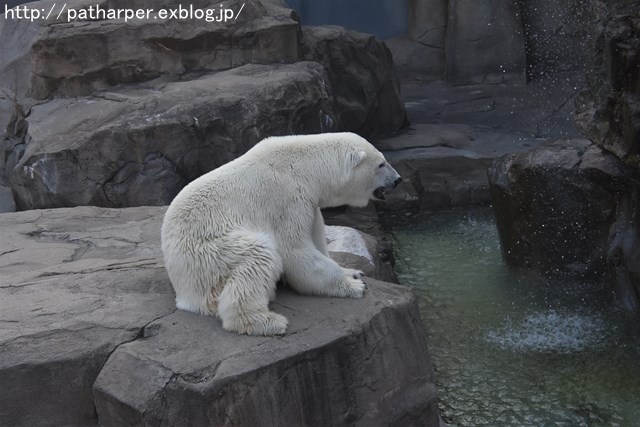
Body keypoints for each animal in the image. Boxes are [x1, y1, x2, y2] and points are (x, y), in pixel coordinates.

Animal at [160, 132, 400, 336]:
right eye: (381, 163)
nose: (398, 179)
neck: (305, 168)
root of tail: (182, 292)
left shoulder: (310, 203)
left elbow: (317, 238)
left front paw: (353, 272)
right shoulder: (285, 200)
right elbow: (295, 250)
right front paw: (355, 287)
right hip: (209, 253)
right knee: (257, 256)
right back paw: (268, 322)